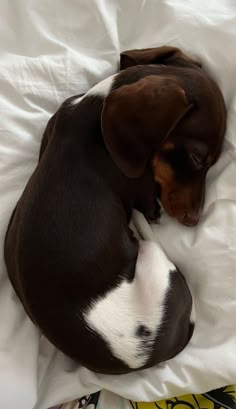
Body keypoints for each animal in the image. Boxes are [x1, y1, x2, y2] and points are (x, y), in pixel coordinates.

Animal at [3, 47, 225, 372]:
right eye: (198, 159)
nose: (194, 220)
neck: (94, 109)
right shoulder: (140, 188)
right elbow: (148, 202)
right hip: (153, 260)